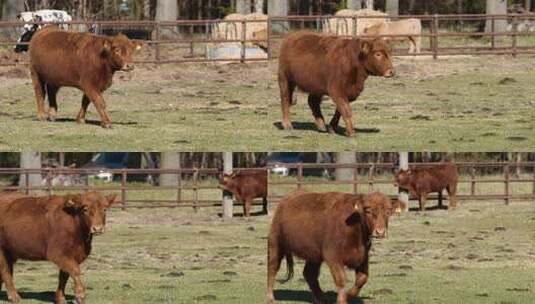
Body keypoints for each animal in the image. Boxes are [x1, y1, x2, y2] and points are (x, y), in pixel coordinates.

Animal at [266, 191, 394, 302]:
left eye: (388, 211)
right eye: (368, 210)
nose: (380, 232)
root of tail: (286, 200)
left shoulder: (363, 256)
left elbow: (362, 279)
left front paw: (348, 295)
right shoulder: (333, 256)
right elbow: (341, 279)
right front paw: (342, 300)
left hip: (314, 256)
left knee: (309, 274)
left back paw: (321, 299)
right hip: (275, 244)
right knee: (272, 269)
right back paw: (271, 298)